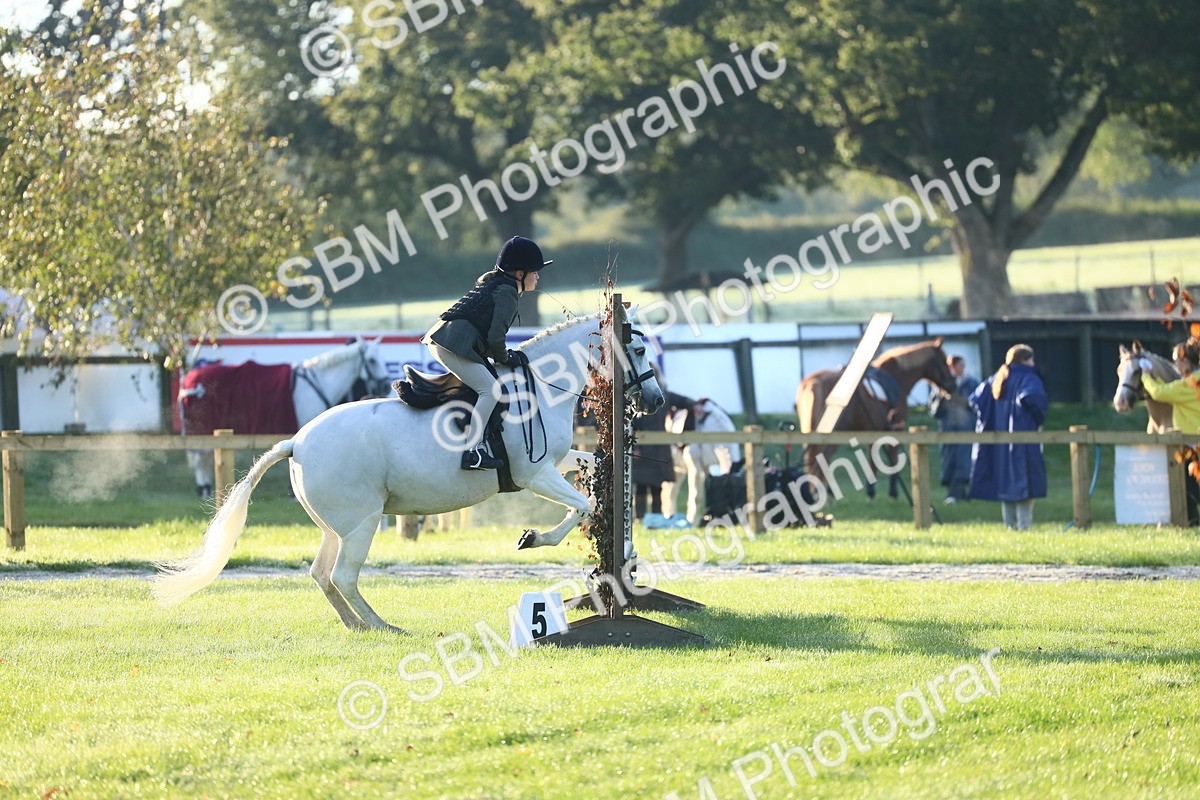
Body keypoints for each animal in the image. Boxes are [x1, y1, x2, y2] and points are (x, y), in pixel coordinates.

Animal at [179, 337, 391, 500]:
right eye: (372, 360)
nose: (385, 385)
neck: (316, 384)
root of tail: (189, 379)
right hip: (201, 428)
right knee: (200, 459)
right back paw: (204, 489)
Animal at [796, 337, 957, 498]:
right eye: (944, 362)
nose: (952, 386)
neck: (896, 377)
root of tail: (814, 382)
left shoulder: (873, 430)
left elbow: (872, 457)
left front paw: (871, 489)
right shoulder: (895, 428)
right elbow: (892, 457)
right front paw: (891, 491)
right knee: (823, 458)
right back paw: (826, 493)